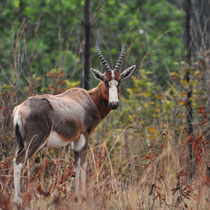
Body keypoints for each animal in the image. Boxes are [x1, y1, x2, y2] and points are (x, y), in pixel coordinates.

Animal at [12, 39, 136, 203]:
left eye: (119, 81)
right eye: (105, 81)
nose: (114, 104)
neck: (88, 99)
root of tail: (20, 109)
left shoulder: (75, 139)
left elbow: (76, 164)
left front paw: (77, 196)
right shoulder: (85, 135)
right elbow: (83, 163)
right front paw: (83, 197)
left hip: (21, 142)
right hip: (35, 140)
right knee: (19, 161)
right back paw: (17, 200)